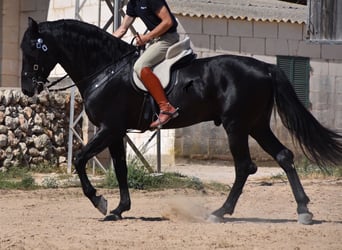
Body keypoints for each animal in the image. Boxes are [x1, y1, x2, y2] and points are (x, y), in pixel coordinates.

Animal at [21, 18, 342, 225]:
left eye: (32, 48)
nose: (26, 89)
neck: (105, 70)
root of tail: (265, 67)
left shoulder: (109, 129)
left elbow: (80, 160)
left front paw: (100, 202)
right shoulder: (116, 132)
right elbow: (121, 170)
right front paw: (119, 209)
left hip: (237, 126)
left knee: (244, 167)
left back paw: (220, 212)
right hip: (256, 125)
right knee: (284, 156)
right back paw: (303, 211)